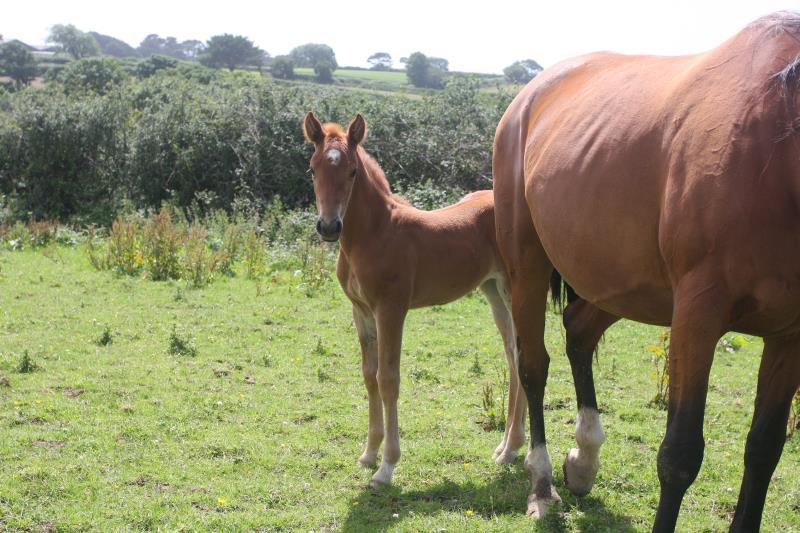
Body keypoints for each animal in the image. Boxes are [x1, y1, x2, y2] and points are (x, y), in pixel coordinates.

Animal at [304, 113, 524, 486]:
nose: (329, 227)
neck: (374, 233)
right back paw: (506, 447)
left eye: (352, 171)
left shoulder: (391, 309)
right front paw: (368, 453)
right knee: (513, 356)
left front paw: (386, 466)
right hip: (493, 290)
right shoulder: (361, 311)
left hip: (513, 288)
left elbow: (388, 378)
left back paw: (511, 449)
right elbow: (369, 375)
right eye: (313, 168)